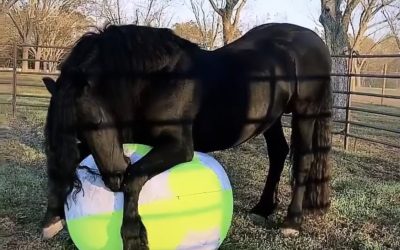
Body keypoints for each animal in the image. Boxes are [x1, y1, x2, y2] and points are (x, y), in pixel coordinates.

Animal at [42, 22, 332, 249]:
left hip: (306, 112)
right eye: (75, 130)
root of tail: (315, 40)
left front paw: (134, 236)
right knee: (278, 153)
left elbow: (134, 176)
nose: (113, 179)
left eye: (96, 121)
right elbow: (62, 164)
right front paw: (52, 218)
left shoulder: (179, 147)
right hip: (270, 118)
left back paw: (292, 221)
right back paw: (262, 209)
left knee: (304, 160)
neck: (157, 80)